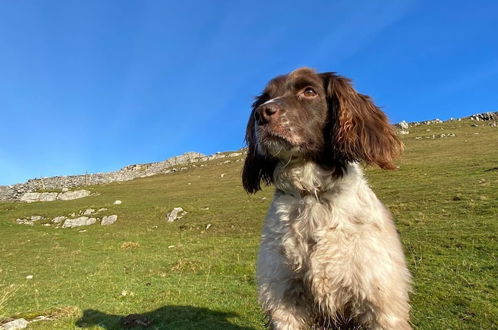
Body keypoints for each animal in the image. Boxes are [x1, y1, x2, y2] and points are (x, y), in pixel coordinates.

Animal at [243, 67, 410, 330]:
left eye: (309, 91)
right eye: (265, 98)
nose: (262, 113)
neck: (314, 195)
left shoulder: (378, 303)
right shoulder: (284, 299)